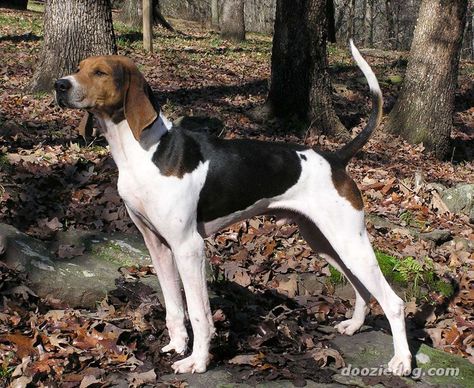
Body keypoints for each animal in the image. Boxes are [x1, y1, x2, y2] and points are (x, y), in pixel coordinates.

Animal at [54, 41, 412, 376]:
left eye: (100, 72)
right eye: (78, 67)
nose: (60, 84)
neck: (145, 151)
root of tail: (336, 158)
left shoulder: (188, 247)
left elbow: (199, 312)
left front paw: (197, 361)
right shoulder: (157, 245)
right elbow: (173, 306)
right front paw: (177, 345)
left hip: (348, 241)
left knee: (393, 302)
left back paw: (402, 361)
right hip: (325, 241)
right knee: (363, 288)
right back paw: (354, 326)